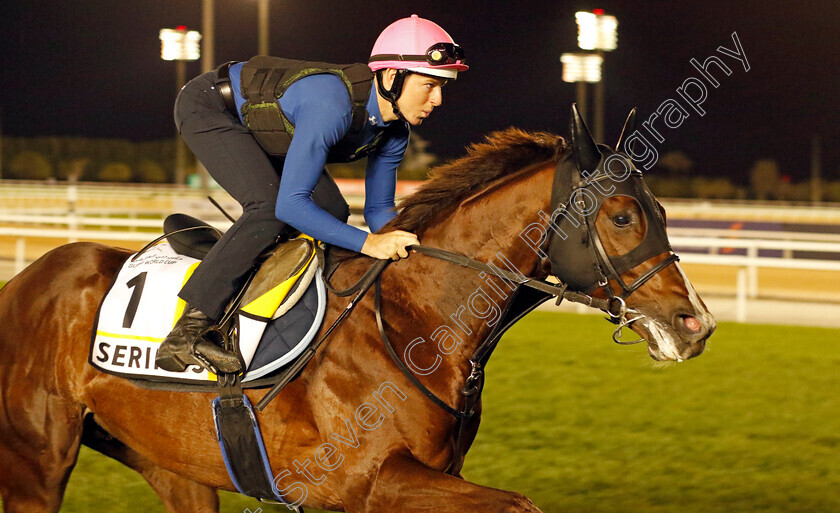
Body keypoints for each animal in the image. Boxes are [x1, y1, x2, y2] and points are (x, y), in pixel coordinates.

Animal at [0, 109, 716, 512]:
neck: (415, 324)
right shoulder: (368, 482)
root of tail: (21, 283)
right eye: (621, 217)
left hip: (171, 461)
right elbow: (520, 505)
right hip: (37, 462)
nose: (696, 324)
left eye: (660, 211)